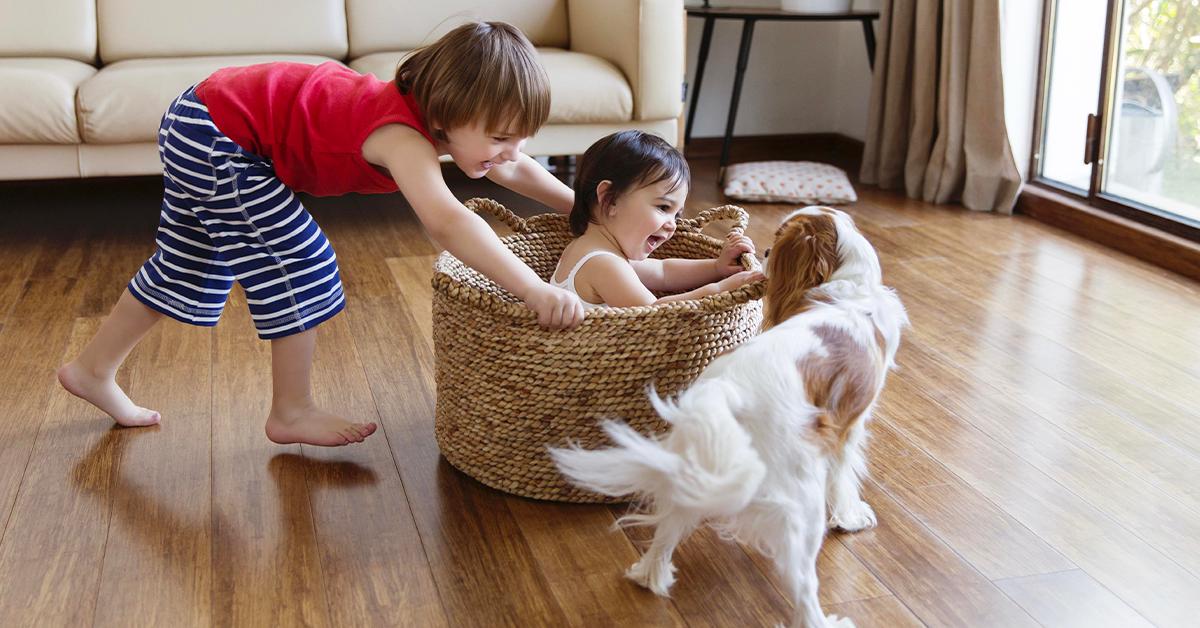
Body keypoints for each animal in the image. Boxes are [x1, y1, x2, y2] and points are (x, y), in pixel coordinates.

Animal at [549, 207, 902, 628]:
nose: (763, 250)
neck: (847, 292)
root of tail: (730, 392)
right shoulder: (848, 428)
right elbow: (846, 478)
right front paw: (851, 518)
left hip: (704, 463)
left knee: (669, 527)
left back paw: (650, 576)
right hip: (799, 496)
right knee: (802, 583)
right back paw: (823, 621)